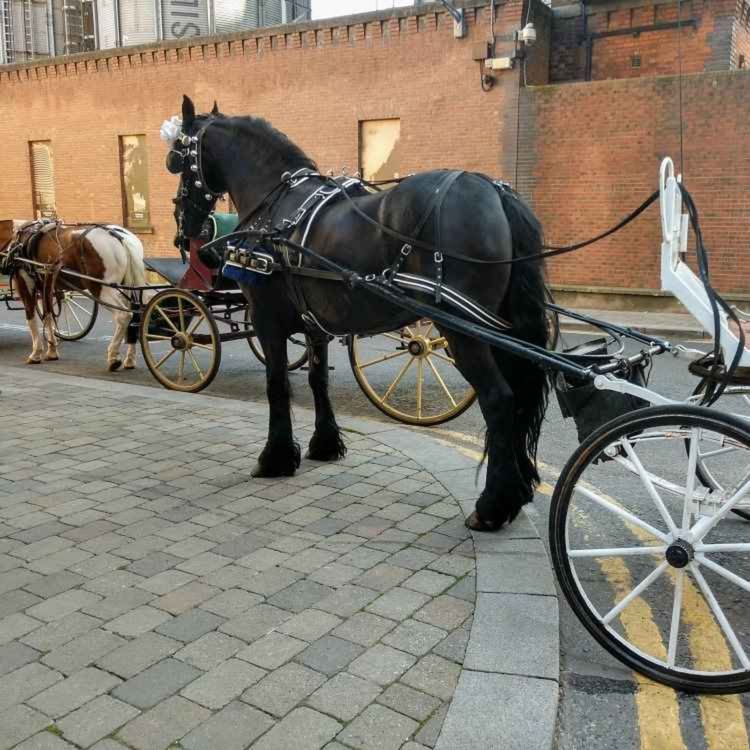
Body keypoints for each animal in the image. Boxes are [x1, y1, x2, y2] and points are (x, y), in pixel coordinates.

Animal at [0, 219, 147, 370]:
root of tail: (120, 237)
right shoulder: (45, 284)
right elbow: (48, 315)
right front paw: (52, 350)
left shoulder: (24, 282)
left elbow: (31, 317)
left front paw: (36, 353)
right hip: (128, 287)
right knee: (135, 317)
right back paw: (130, 359)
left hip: (101, 288)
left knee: (124, 316)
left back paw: (113, 356)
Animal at [166, 95, 550, 531]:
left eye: (178, 156)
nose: (184, 229)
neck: (278, 206)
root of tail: (491, 189)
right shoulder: (314, 322)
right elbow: (317, 380)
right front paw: (324, 444)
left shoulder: (266, 319)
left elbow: (277, 384)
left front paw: (275, 458)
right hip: (500, 327)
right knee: (519, 395)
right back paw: (517, 491)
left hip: (464, 330)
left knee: (499, 399)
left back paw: (492, 506)